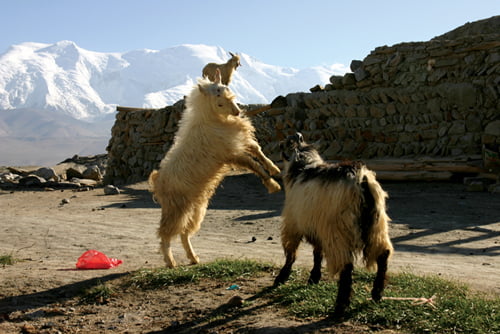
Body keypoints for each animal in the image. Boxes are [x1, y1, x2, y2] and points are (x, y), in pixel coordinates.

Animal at [148, 68, 282, 268]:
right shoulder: (230, 153)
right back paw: (171, 262)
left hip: (195, 207)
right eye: (218, 100)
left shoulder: (237, 143)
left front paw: (274, 169)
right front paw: (272, 184)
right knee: (165, 234)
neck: (211, 120)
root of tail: (157, 182)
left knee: (184, 233)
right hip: (175, 209)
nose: (237, 111)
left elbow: (256, 150)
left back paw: (193, 258)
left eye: (228, 92)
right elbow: (252, 164)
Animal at [274, 133, 394, 318]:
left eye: (285, 143)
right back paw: (376, 294)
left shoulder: (293, 223)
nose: (295, 136)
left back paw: (340, 307)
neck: (304, 165)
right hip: (377, 226)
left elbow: (291, 253)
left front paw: (281, 277)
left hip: (339, 231)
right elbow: (317, 252)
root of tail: (361, 178)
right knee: (383, 255)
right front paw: (314, 277)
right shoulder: (317, 226)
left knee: (346, 266)